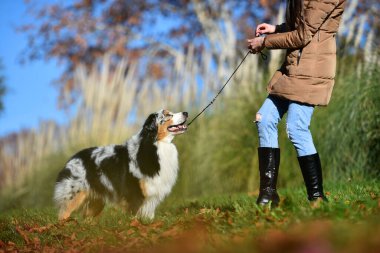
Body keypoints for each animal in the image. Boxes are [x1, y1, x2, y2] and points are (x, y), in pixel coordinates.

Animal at [53, 109, 189, 220]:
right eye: (167, 115)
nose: (186, 113)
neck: (154, 144)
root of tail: (72, 159)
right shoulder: (134, 195)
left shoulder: (151, 196)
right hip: (73, 195)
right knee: (62, 215)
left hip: (96, 202)